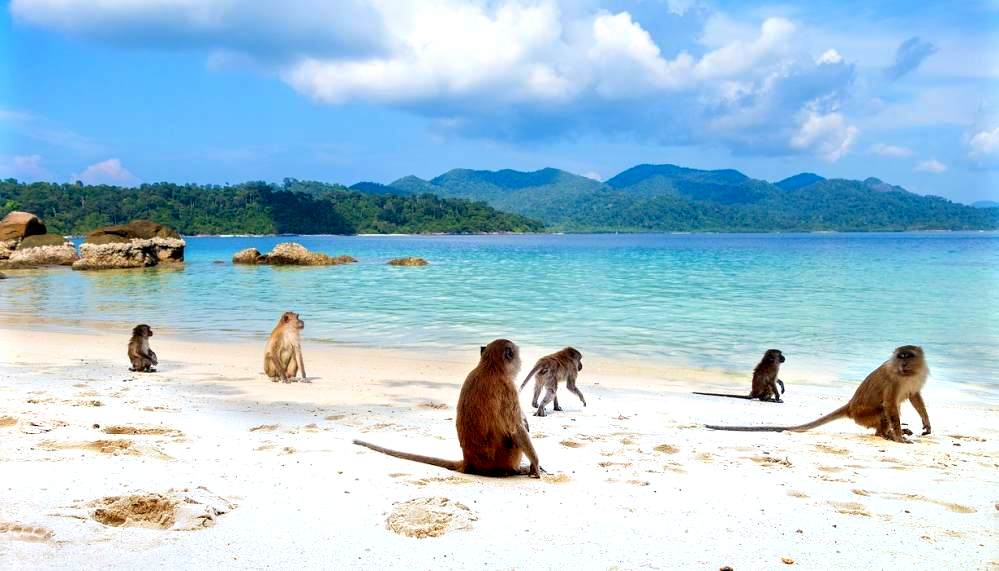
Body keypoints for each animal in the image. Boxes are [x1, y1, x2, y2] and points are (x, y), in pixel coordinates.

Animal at [354, 340, 544, 478]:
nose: (521, 362)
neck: (490, 367)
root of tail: (470, 462)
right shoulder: (508, 387)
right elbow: (516, 429)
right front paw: (535, 463)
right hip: (505, 458)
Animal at [708, 344, 932, 442]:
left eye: (908, 355)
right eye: (901, 356)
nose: (903, 363)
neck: (906, 373)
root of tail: (850, 406)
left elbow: (914, 396)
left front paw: (926, 424)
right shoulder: (893, 380)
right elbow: (890, 404)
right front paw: (899, 437)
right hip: (863, 415)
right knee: (884, 410)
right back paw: (886, 434)